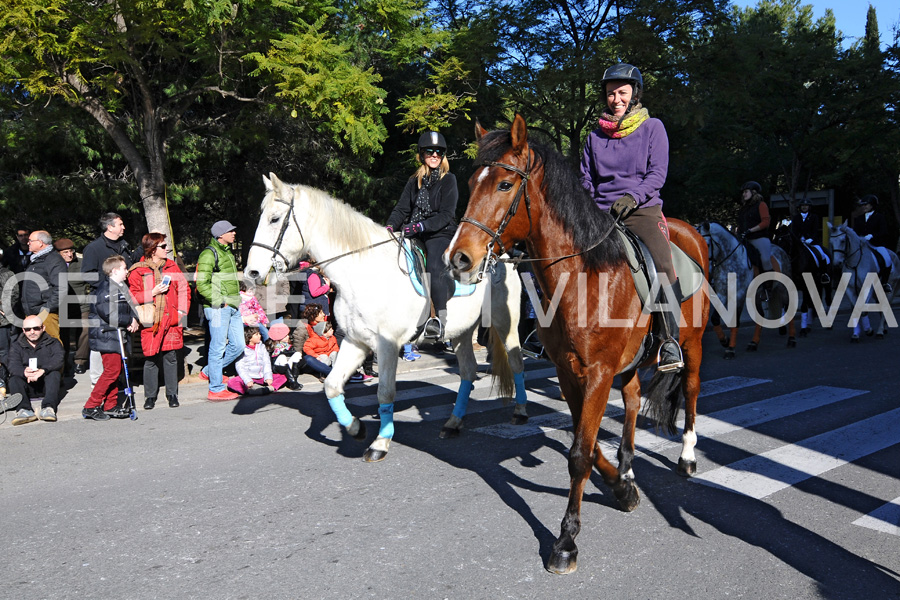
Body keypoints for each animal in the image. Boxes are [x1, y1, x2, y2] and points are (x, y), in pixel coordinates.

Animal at [244, 173, 528, 464]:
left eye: (274, 219)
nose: (251, 272)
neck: (363, 271)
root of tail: (503, 257)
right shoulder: (356, 341)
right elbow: (332, 386)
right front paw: (355, 428)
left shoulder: (387, 344)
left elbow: (385, 392)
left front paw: (380, 442)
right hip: (461, 332)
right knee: (468, 371)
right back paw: (453, 423)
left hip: (506, 324)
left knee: (516, 362)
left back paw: (520, 412)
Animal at [444, 115, 712, 576]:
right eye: (471, 182)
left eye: (504, 185)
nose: (458, 258)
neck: (584, 274)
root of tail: (689, 231)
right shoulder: (568, 370)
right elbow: (585, 444)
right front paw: (621, 486)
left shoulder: (599, 371)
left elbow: (579, 455)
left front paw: (566, 541)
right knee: (634, 399)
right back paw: (628, 465)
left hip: (691, 344)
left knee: (691, 391)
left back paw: (687, 456)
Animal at [696, 223, 796, 358]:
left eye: (706, 244)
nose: (705, 268)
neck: (731, 260)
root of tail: (782, 251)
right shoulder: (722, 293)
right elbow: (715, 319)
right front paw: (725, 341)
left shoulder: (740, 294)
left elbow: (735, 321)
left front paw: (730, 349)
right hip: (756, 295)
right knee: (760, 315)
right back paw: (753, 343)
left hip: (783, 289)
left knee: (788, 309)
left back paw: (791, 340)